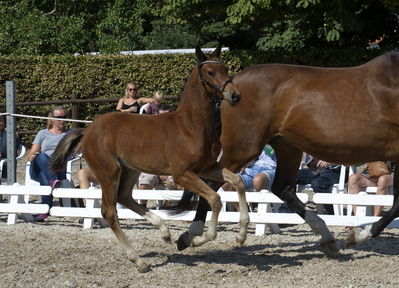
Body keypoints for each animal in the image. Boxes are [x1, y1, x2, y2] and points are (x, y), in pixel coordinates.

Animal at [48, 46, 248, 272]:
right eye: (210, 72)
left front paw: (241, 235)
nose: (235, 95)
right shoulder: (181, 174)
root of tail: (88, 130)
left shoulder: (206, 168)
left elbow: (238, 181)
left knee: (124, 197)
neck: (191, 125)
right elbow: (215, 199)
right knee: (109, 211)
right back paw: (139, 260)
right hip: (109, 172)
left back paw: (164, 232)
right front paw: (195, 240)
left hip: (130, 170)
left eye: (226, 69)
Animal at [178, 51, 399, 254]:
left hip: (287, 146)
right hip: (242, 148)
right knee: (211, 182)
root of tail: (232, 86)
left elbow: (396, 203)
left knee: (282, 188)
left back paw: (327, 236)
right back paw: (192, 235)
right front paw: (359, 235)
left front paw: (359, 234)